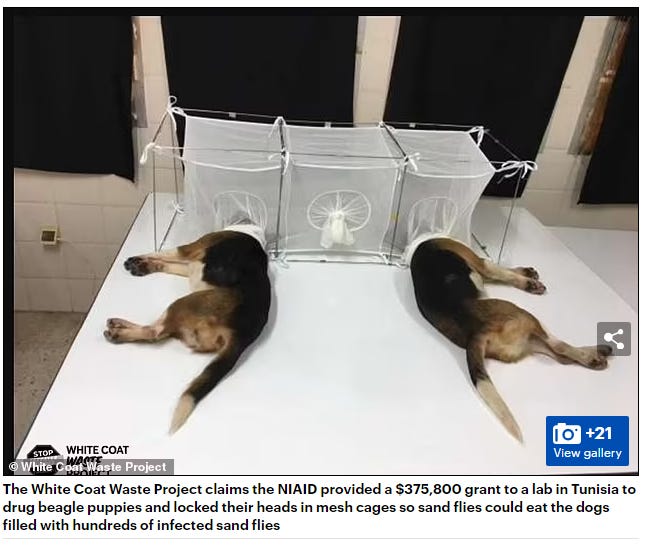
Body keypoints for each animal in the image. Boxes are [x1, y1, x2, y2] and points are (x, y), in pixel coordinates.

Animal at [103, 229, 271, 434]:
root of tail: (241, 335)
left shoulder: (188, 250)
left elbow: (162, 253)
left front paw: (139, 259)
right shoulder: (189, 266)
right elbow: (166, 264)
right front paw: (145, 266)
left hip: (181, 303)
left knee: (154, 332)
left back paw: (119, 331)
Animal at [408, 237, 612, 442]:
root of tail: (476, 331)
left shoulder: (482, 269)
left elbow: (502, 272)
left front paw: (527, 273)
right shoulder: (482, 264)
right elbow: (502, 272)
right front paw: (528, 281)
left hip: (530, 338)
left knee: (561, 356)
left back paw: (598, 354)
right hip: (527, 317)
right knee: (560, 347)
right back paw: (593, 356)